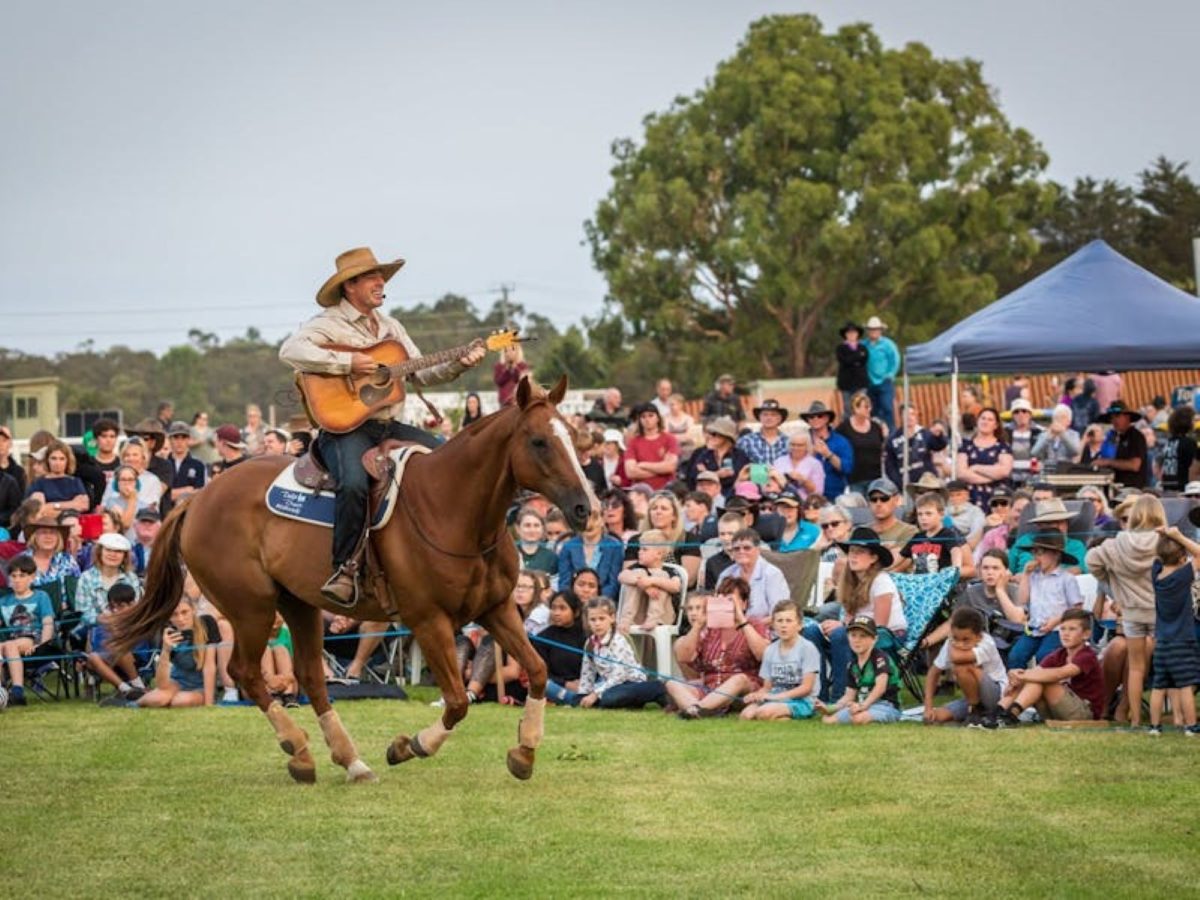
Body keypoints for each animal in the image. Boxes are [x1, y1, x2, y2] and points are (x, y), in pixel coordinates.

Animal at [110, 376, 592, 787]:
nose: (585, 507)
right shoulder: (428, 620)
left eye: (573, 436)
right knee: (245, 673)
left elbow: (536, 669)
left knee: (310, 676)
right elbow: (457, 701)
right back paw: (299, 749)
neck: (452, 511)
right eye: (539, 441)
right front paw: (408, 746)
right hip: (251, 608)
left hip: (298, 605)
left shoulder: (496, 609)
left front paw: (524, 751)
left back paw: (350, 761)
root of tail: (197, 500)